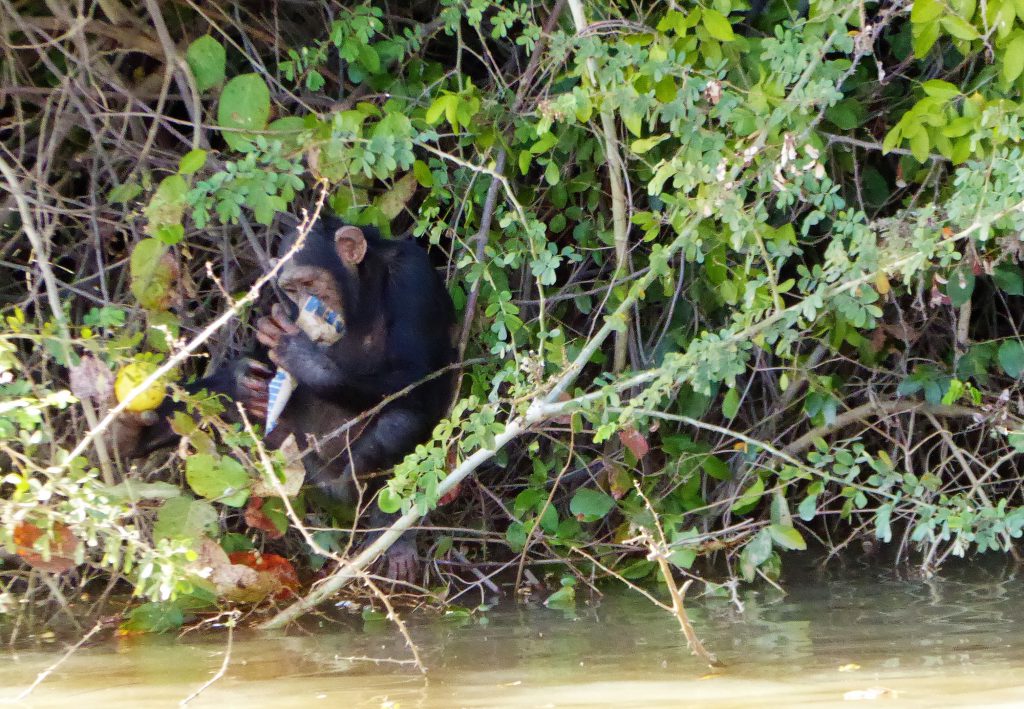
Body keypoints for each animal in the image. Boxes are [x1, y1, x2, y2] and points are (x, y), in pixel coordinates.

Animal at [116, 216, 456, 581]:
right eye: (292, 289)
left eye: (309, 281)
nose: (306, 302)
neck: (361, 294)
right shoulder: (276, 303)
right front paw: (243, 377)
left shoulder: (414, 277)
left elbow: (413, 373)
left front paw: (304, 359)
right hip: (292, 463)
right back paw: (130, 434)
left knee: (399, 423)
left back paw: (389, 531)